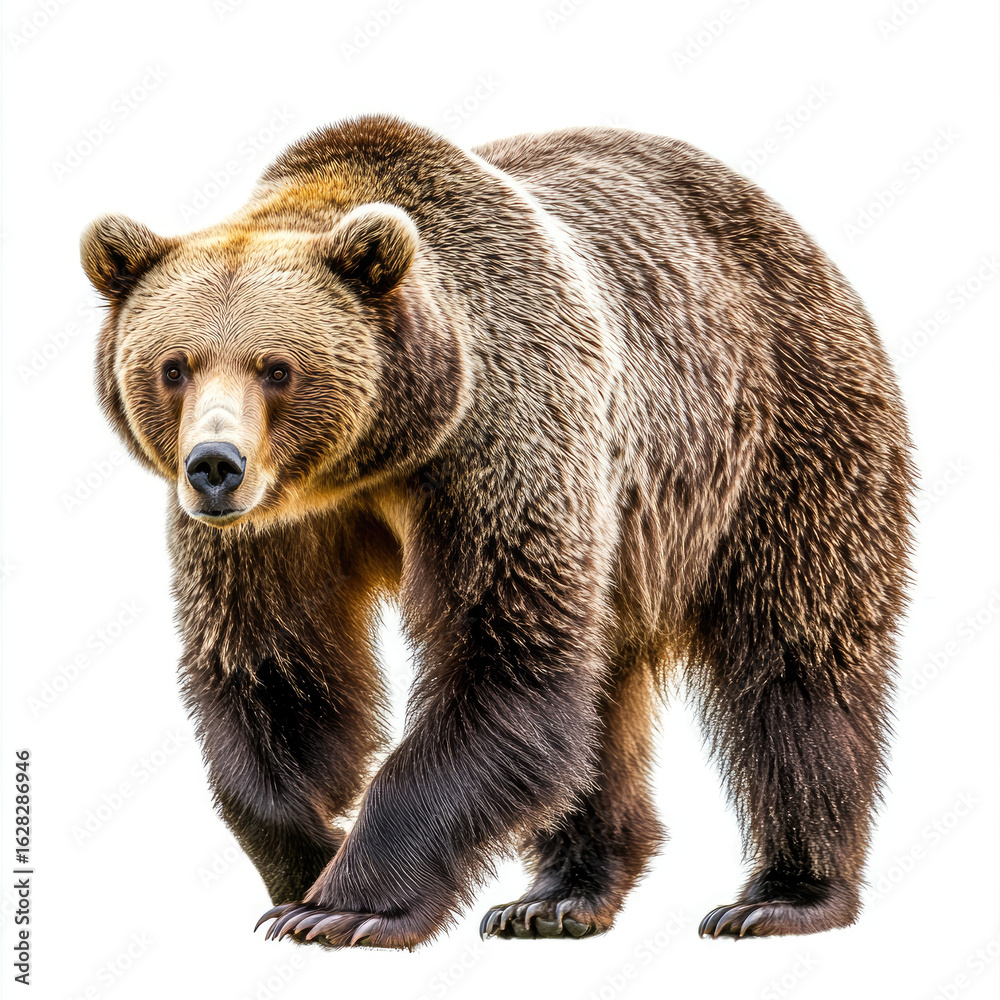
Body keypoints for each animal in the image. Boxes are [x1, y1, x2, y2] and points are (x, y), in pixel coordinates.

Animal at [80, 114, 914, 950]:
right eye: (174, 366)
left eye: (276, 366)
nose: (214, 465)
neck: (377, 457)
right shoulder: (270, 532)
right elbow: (276, 668)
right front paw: (309, 858)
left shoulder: (501, 442)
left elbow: (504, 660)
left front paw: (344, 904)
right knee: (604, 698)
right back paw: (560, 897)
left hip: (778, 440)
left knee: (796, 661)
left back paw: (782, 894)